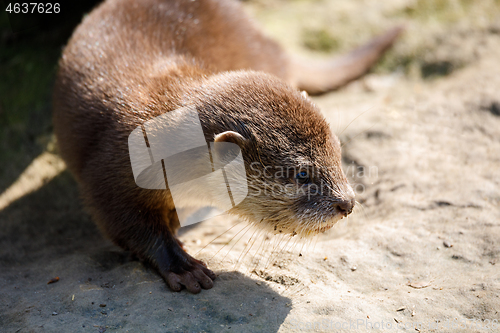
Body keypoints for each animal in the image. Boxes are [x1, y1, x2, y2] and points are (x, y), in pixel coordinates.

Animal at [52, 0, 400, 292]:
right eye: (301, 174)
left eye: (339, 155)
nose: (348, 203)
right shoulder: (111, 168)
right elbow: (125, 222)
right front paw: (183, 266)